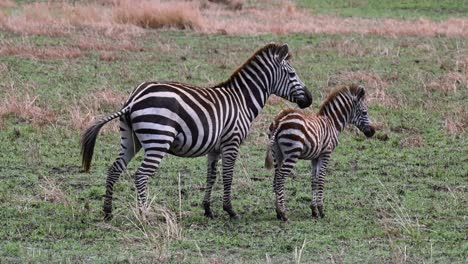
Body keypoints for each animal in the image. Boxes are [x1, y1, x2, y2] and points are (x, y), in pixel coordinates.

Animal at [82, 43, 312, 221]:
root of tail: (134, 99)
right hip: (158, 140)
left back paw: (108, 212)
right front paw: (230, 211)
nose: (309, 99)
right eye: (292, 74)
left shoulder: (215, 147)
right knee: (140, 176)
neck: (242, 100)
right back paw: (144, 215)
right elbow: (228, 176)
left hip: (131, 140)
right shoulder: (232, 141)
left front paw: (208, 209)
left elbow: (211, 176)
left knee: (114, 169)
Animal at [266, 84, 374, 221]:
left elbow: (314, 181)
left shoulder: (315, 157)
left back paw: (278, 212)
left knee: (275, 180)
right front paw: (321, 210)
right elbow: (321, 180)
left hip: (277, 154)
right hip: (292, 154)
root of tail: (279, 121)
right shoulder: (326, 154)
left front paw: (314, 210)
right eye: (365, 112)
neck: (332, 122)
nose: (373, 132)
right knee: (280, 180)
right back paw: (283, 213)